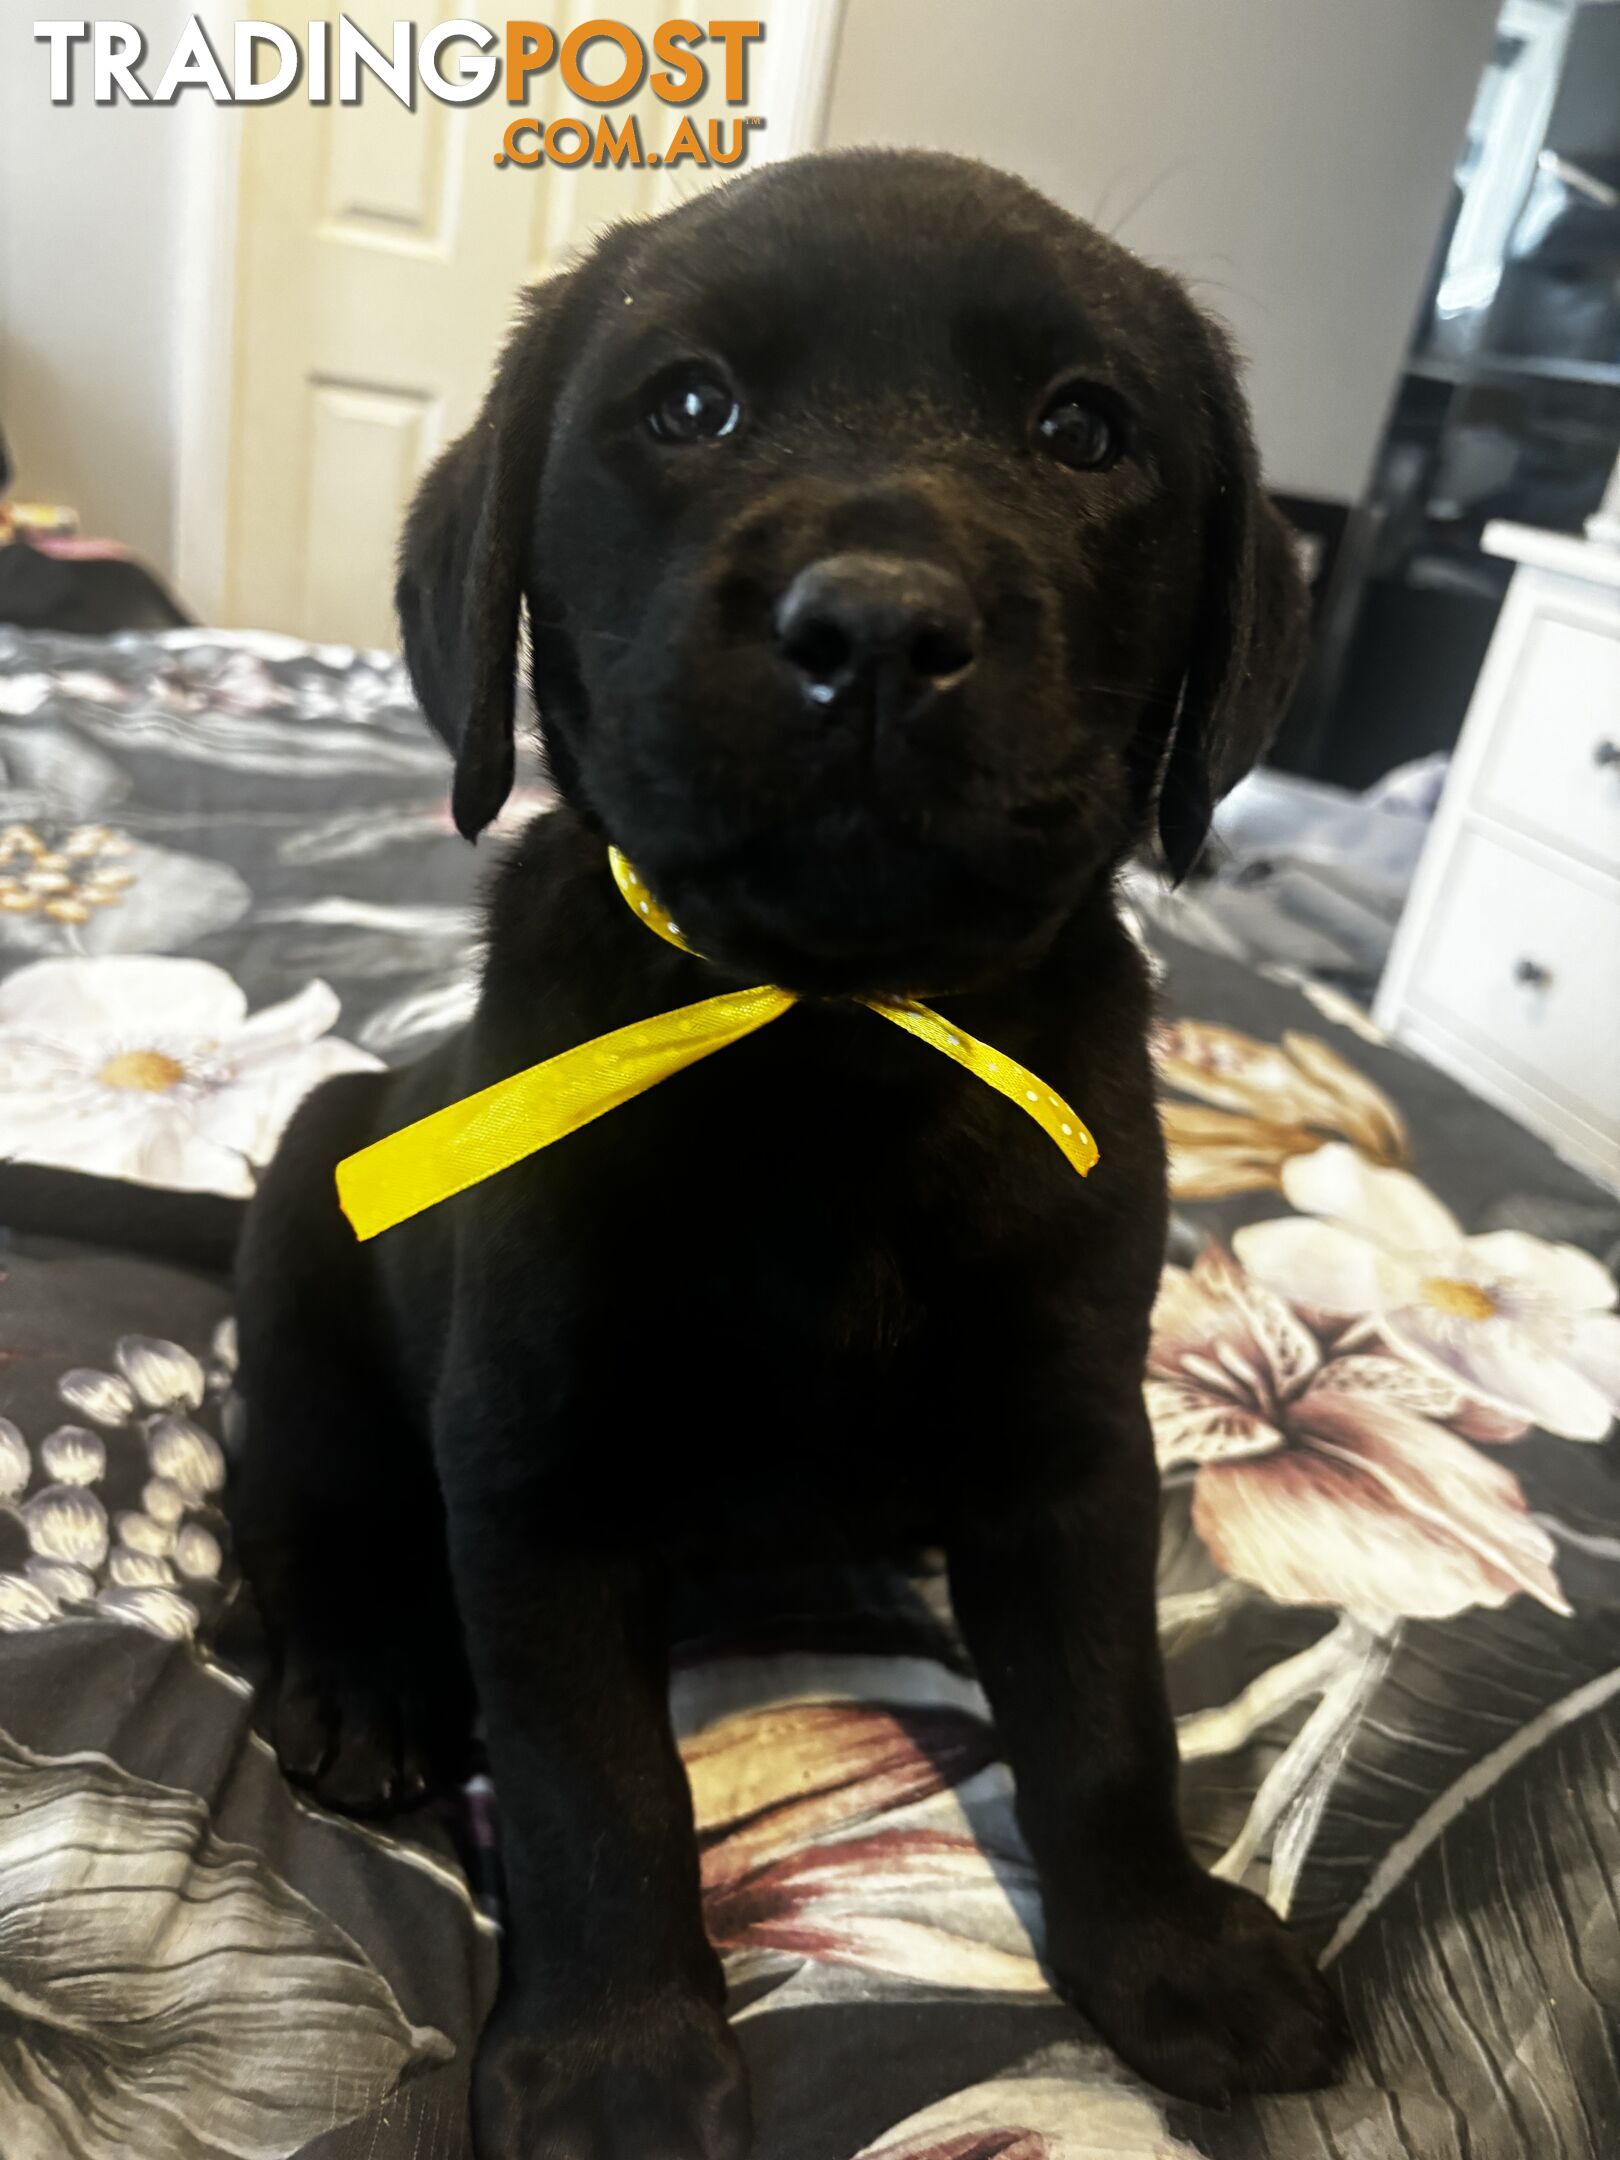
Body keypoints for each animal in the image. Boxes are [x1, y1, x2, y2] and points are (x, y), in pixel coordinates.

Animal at [225, 143, 1347, 2151]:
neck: (830, 1044)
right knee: (301, 1482)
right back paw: (363, 1673)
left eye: (1085, 430)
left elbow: (1109, 1720)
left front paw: (1169, 1955)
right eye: (689, 406)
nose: (879, 628)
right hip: (306, 1208)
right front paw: (617, 2058)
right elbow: (597, 1785)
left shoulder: (1075, 1446)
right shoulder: (535, 1469)